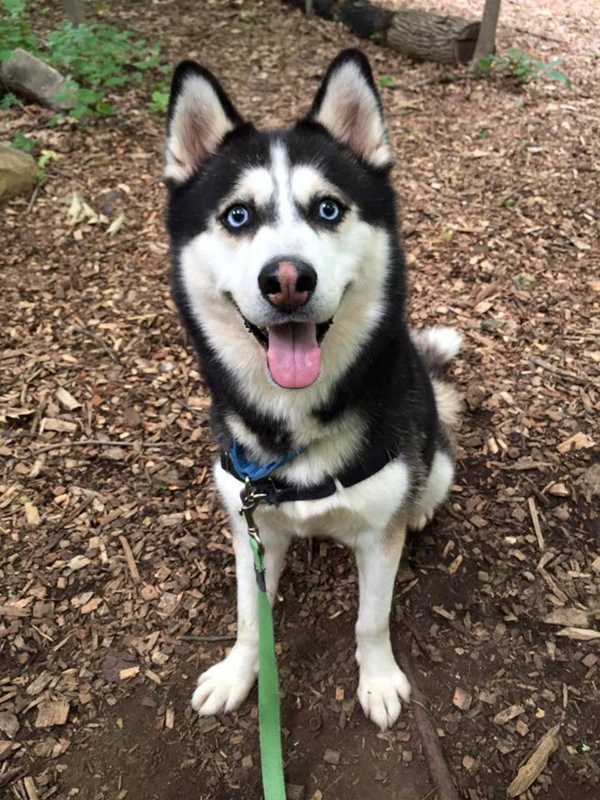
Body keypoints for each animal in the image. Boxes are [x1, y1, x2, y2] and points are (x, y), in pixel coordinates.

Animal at [166, 47, 462, 728]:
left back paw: (424, 506)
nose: (287, 280)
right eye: (238, 216)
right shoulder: (249, 527)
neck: (296, 419)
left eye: (327, 208)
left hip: (432, 457)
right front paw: (238, 674)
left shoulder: (380, 537)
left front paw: (378, 679)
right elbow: (251, 620)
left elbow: (371, 621)